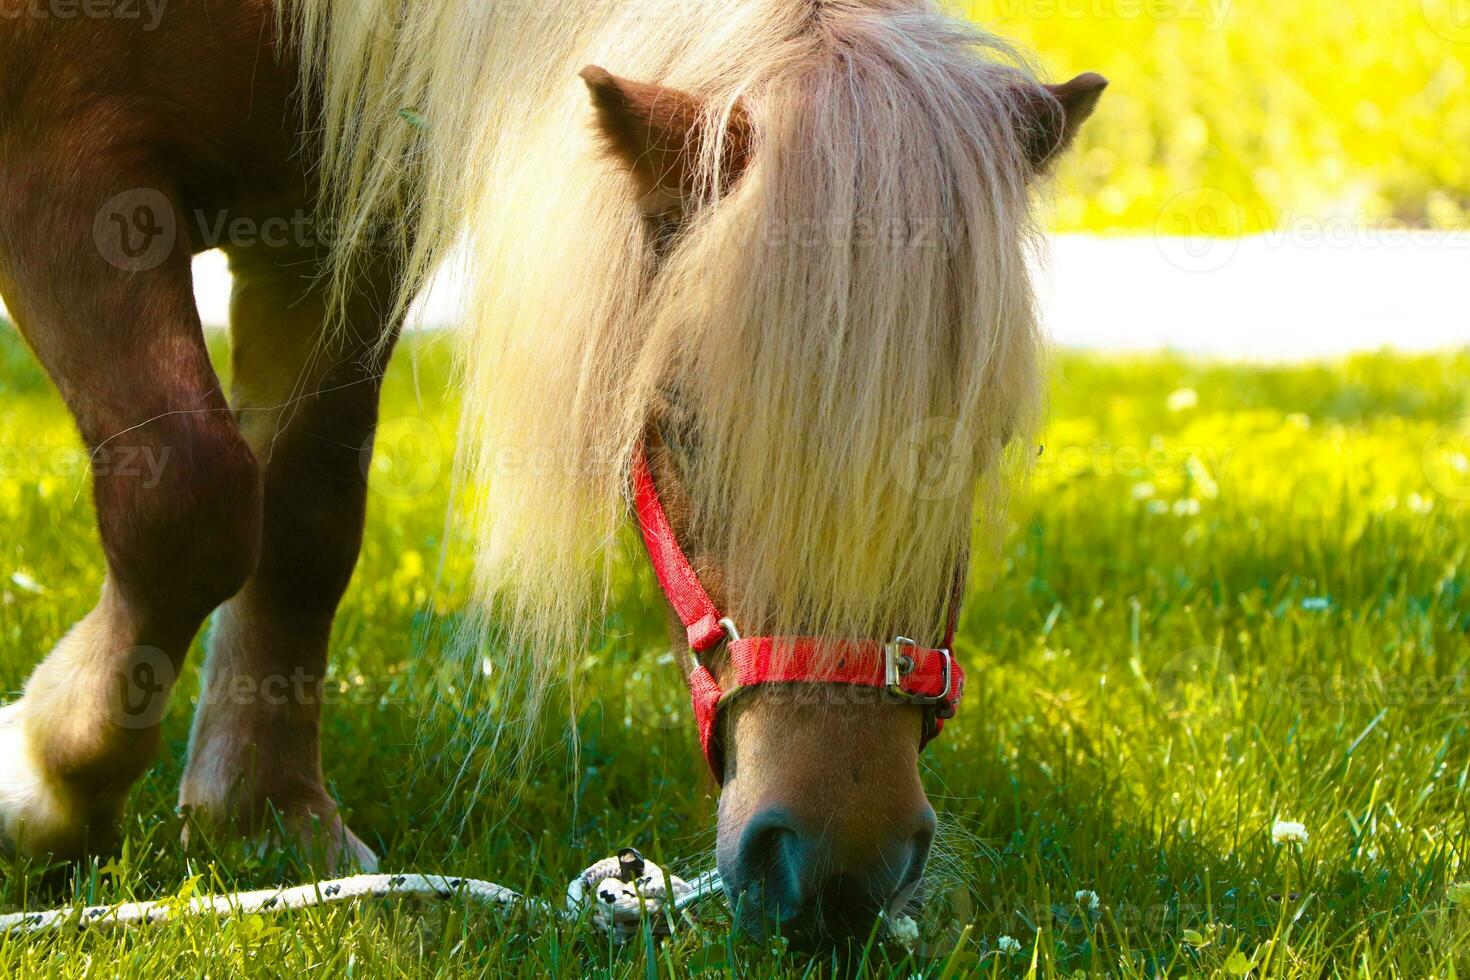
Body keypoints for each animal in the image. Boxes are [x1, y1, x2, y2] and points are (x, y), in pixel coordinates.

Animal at [0, 0, 1105, 946]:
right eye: (680, 425)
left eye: (982, 440)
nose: (840, 871)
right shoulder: (65, 173)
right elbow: (190, 498)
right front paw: (51, 779)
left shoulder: (337, 222)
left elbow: (307, 515)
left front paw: (264, 814)